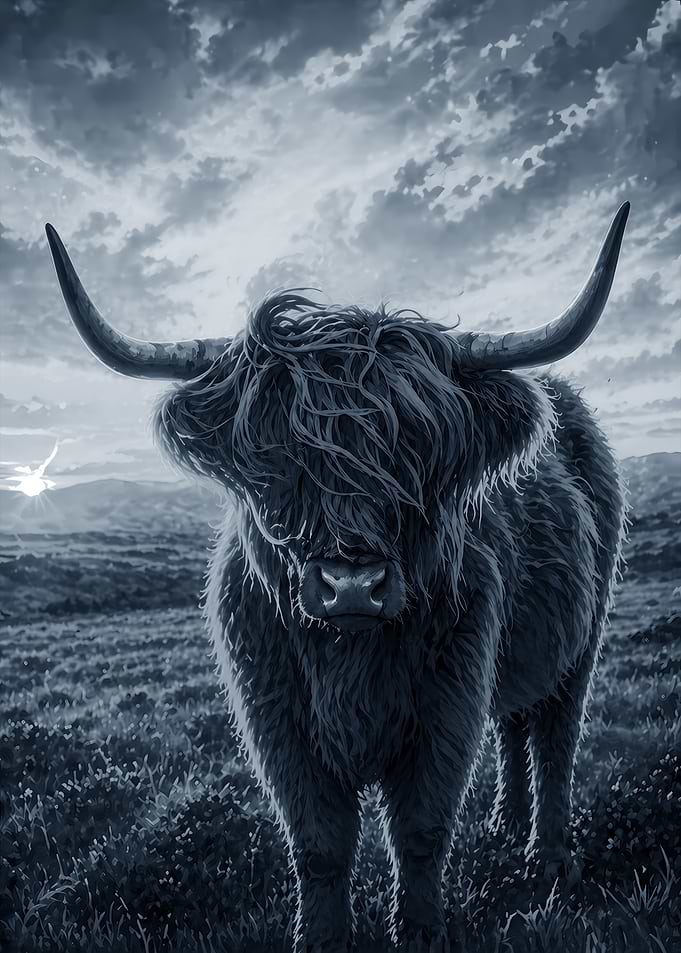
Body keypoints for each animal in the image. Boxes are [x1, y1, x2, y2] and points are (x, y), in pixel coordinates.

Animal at [46, 202, 629, 953]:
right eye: (277, 455)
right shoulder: (276, 717)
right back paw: (505, 825)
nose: (351, 586)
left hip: (583, 640)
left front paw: (419, 934)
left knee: (556, 737)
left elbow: (420, 830)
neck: (351, 655)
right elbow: (319, 842)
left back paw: (548, 858)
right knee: (515, 725)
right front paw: (320, 938)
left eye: (417, 449)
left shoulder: (448, 701)